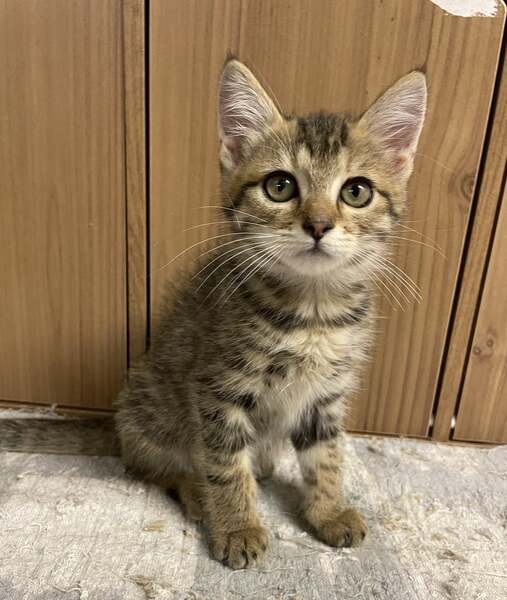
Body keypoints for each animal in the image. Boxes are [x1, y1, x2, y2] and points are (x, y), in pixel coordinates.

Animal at [114, 59, 426, 569]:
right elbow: (224, 464)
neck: (313, 315)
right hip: (148, 413)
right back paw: (197, 494)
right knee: (156, 467)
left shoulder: (327, 395)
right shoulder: (219, 390)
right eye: (280, 186)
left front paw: (328, 511)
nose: (318, 224)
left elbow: (327, 457)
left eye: (356, 192)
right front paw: (238, 526)